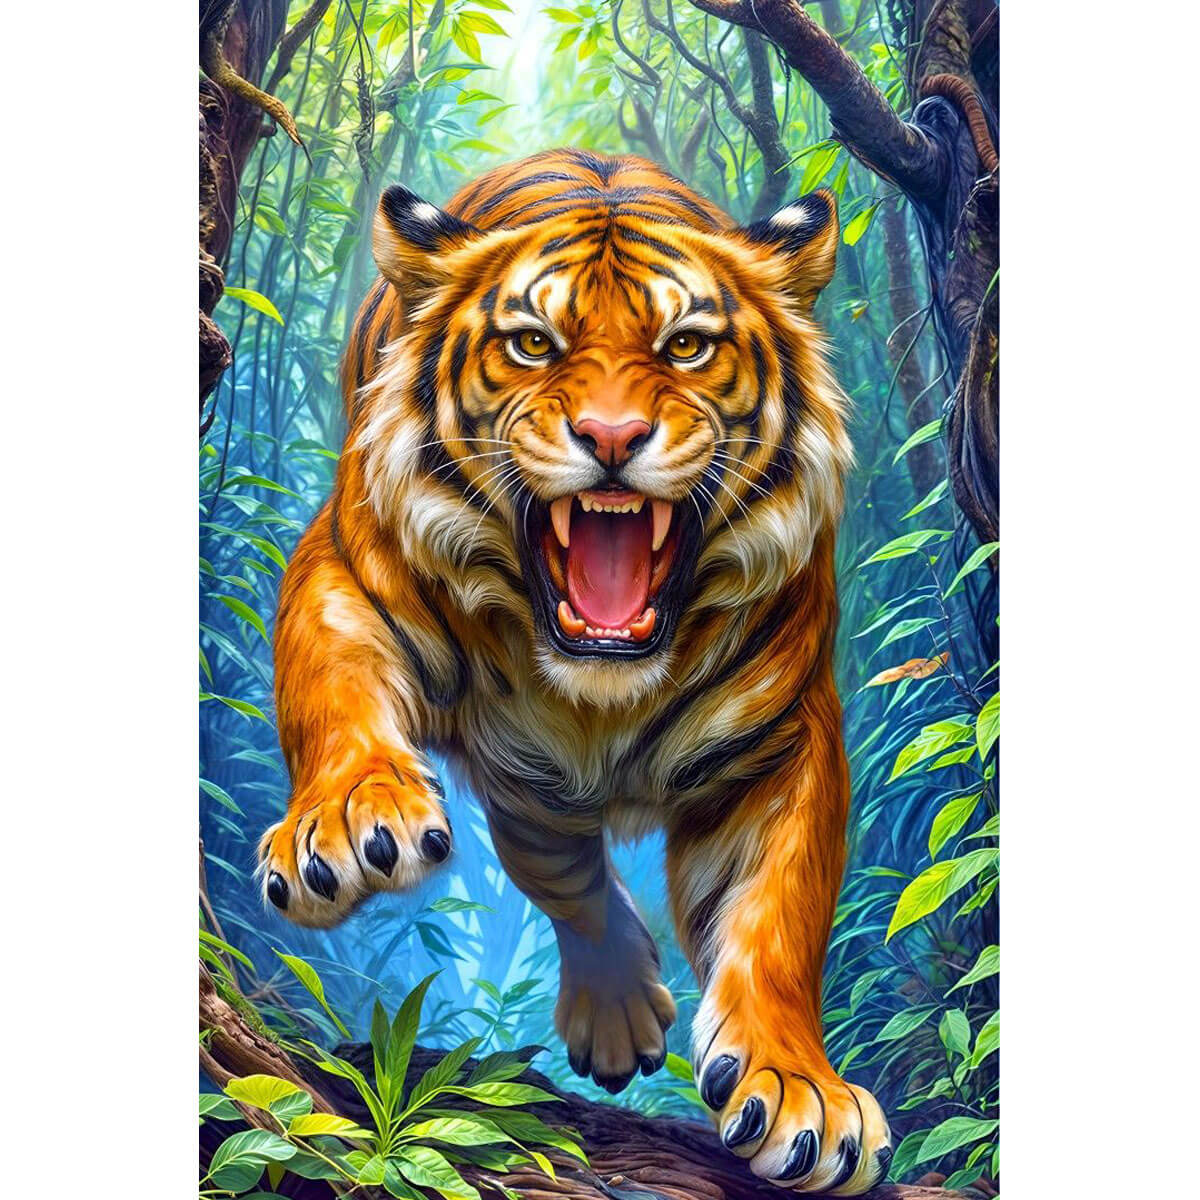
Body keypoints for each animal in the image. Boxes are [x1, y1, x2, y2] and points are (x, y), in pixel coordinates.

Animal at [257, 148, 891, 1193]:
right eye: (532, 344)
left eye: (686, 346)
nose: (612, 437)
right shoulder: (342, 576)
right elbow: (331, 697)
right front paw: (350, 820)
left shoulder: (785, 735)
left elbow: (778, 918)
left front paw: (804, 1094)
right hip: (528, 778)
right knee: (557, 867)